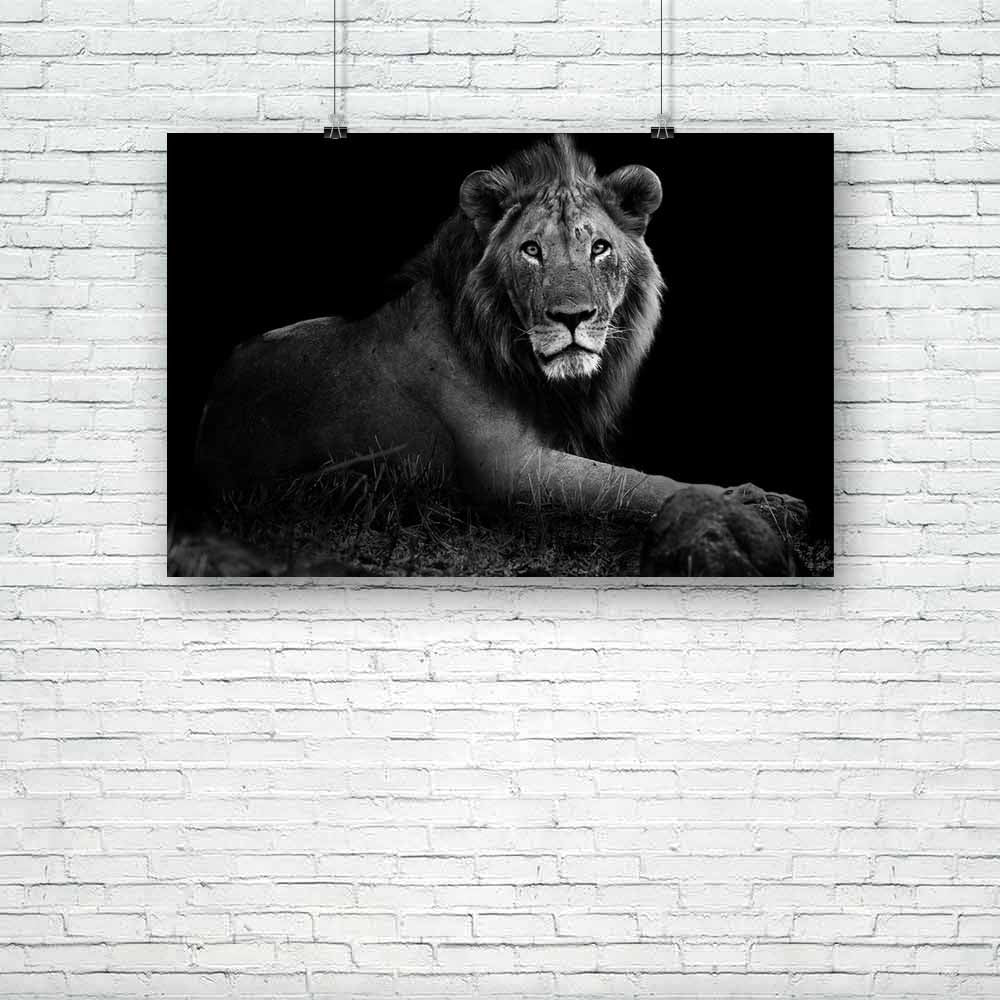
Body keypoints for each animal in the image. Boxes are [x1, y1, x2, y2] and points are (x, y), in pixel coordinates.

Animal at [195, 135, 805, 565]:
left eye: (599, 248)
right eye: (532, 250)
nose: (572, 318)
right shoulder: (507, 469)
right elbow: (632, 485)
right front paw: (758, 501)